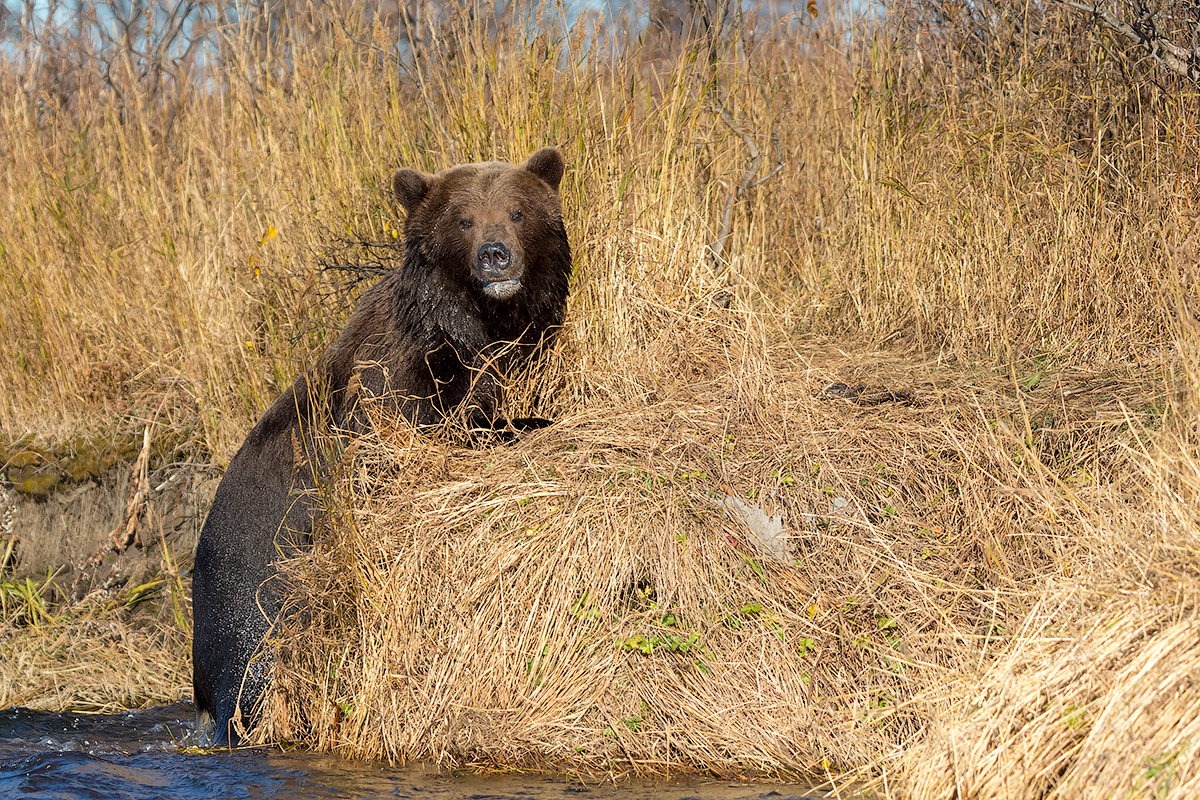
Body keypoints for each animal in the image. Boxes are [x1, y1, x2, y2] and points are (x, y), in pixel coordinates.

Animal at [192, 148, 571, 743]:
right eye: (463, 220)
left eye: (517, 211)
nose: (495, 256)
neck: (466, 328)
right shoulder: (391, 390)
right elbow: (424, 444)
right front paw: (531, 423)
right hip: (254, 598)